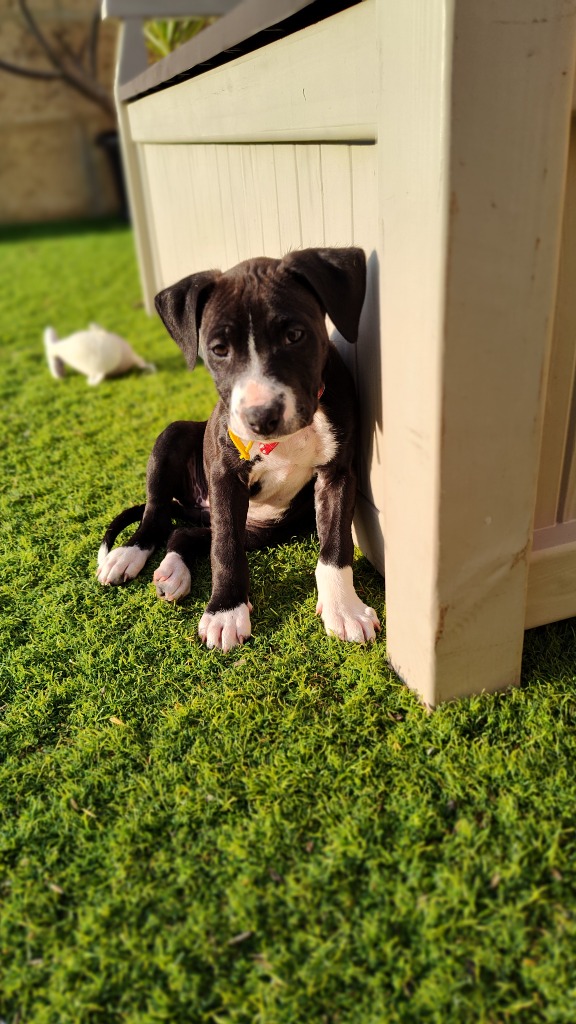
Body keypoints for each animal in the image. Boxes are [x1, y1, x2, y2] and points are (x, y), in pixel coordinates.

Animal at [96, 247, 379, 651]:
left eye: (295, 335)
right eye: (218, 350)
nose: (261, 417)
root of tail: (195, 507)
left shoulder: (337, 473)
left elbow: (337, 543)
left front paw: (344, 608)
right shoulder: (225, 475)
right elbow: (225, 550)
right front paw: (226, 612)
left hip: (265, 529)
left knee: (185, 534)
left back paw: (173, 571)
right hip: (174, 437)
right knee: (158, 515)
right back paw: (128, 554)